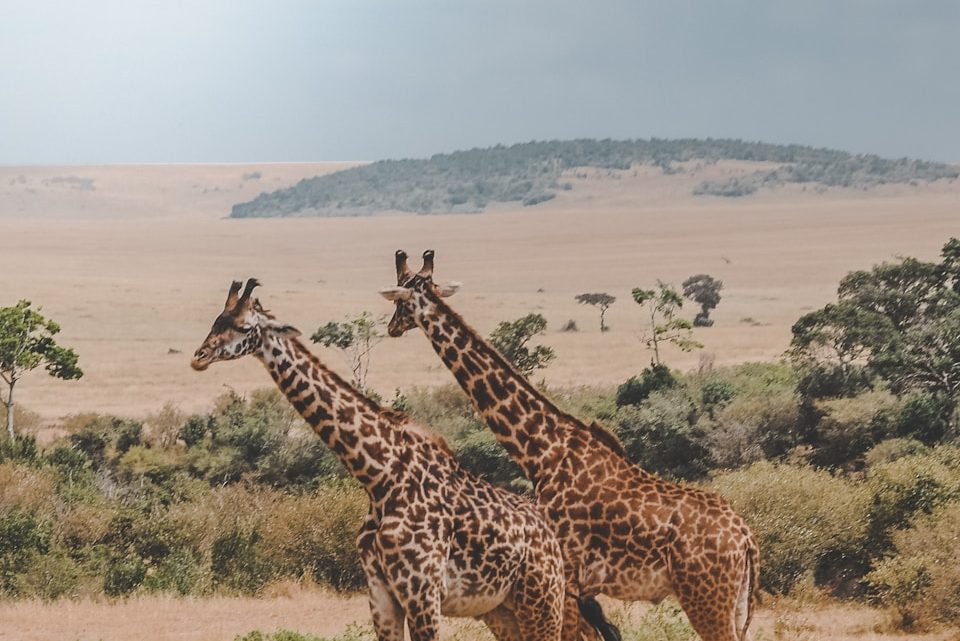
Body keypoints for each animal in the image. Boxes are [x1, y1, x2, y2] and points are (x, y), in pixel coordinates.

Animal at [190, 282, 568, 641]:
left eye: (243, 326)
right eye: (216, 320)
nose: (199, 356)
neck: (380, 477)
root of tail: (551, 537)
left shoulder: (422, 593)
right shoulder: (381, 594)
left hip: (542, 599)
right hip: (502, 609)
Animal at [378, 252, 760, 640]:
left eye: (399, 301)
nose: (391, 328)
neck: (541, 450)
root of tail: (746, 540)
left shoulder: (567, 574)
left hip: (706, 598)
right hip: (734, 602)